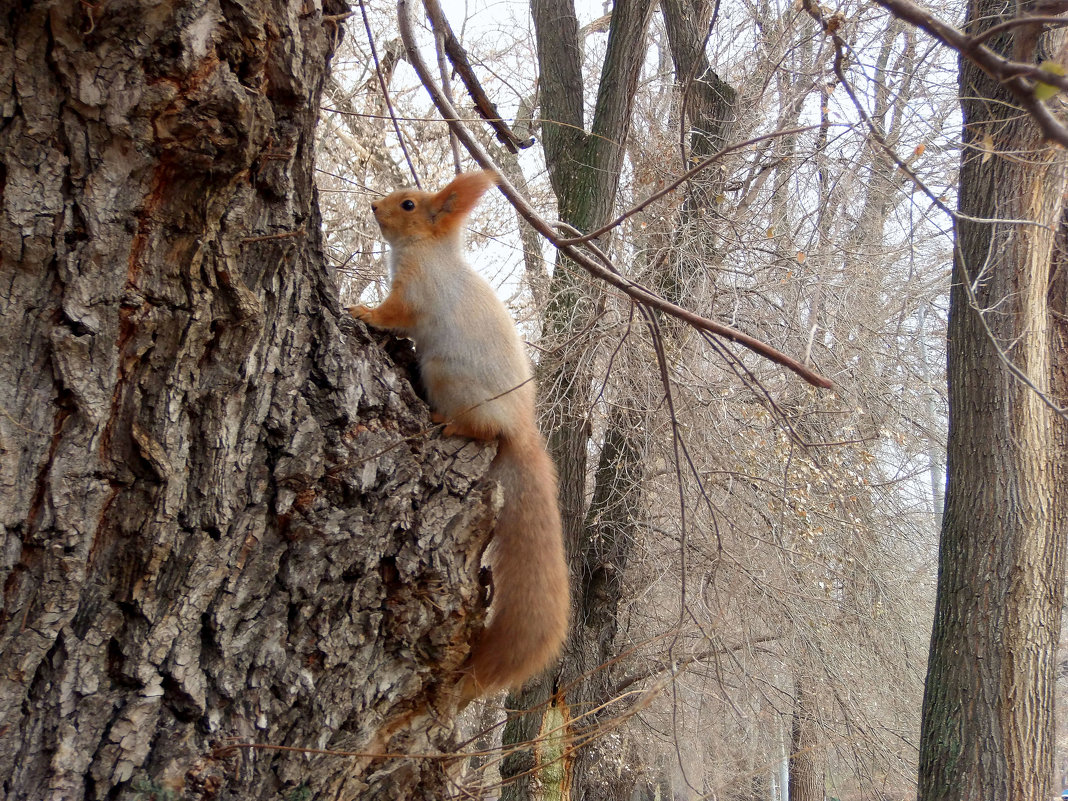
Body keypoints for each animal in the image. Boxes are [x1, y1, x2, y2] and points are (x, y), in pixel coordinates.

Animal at [348, 170, 568, 700]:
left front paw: (362, 312)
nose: (374, 207)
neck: (429, 251)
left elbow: (394, 314)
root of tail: (519, 430)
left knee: (475, 428)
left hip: (446, 376)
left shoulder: (415, 291)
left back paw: (445, 422)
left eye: (409, 204)